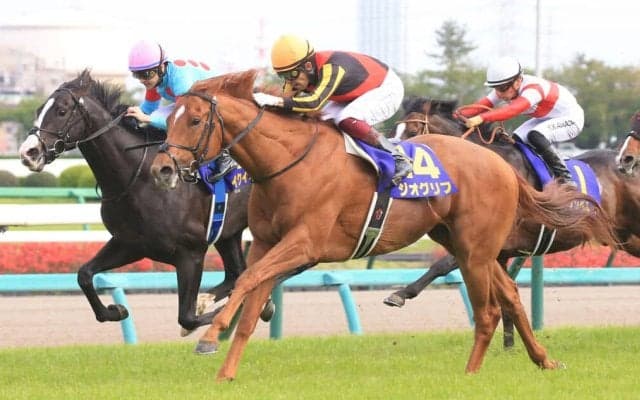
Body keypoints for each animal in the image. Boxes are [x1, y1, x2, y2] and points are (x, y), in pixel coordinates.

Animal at [18, 69, 257, 335]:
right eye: (39, 109)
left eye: (61, 111)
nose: (28, 153)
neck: (138, 179)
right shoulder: (130, 244)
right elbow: (84, 274)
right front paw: (116, 310)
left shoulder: (191, 252)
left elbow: (187, 317)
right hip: (227, 232)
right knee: (236, 272)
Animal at [387, 98, 640, 318]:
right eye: (395, 131)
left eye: (413, 131)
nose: (393, 162)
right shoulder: (500, 251)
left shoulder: (490, 243)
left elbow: (442, 265)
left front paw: (400, 293)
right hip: (627, 237)